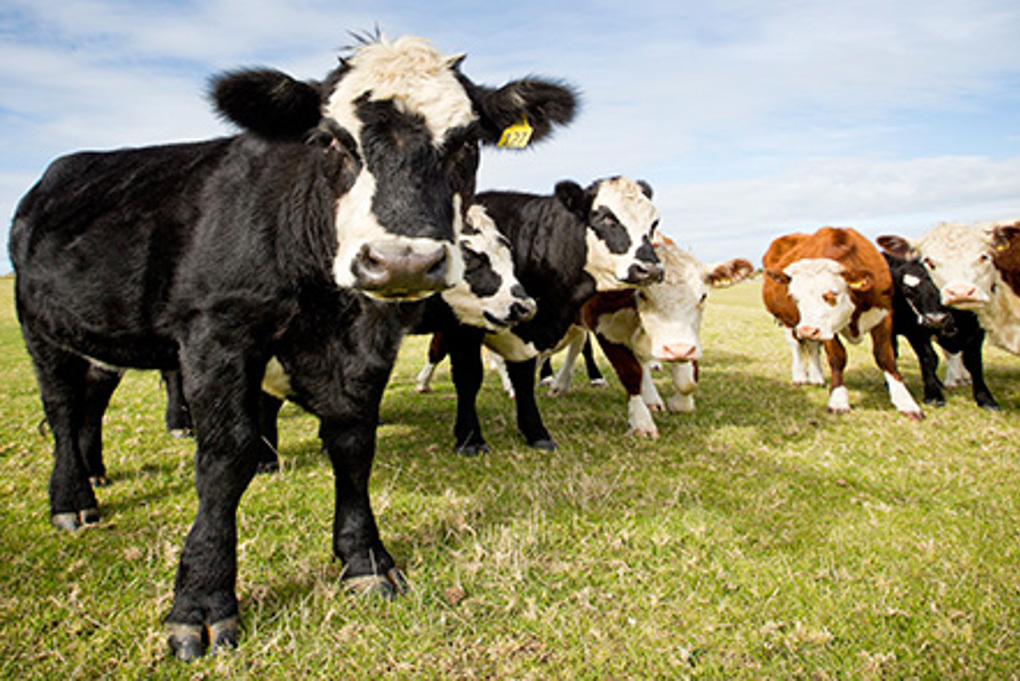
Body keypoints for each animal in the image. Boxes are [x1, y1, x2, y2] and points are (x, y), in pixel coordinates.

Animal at [9, 34, 577, 660]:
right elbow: (224, 459)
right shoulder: (218, 335)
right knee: (63, 409)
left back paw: (96, 472)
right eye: (330, 139)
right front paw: (202, 601)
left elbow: (353, 445)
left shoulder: (367, 348)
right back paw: (72, 498)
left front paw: (364, 559)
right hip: (40, 326)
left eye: (467, 141)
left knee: (92, 399)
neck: (323, 303)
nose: (401, 261)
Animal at [441, 176, 665, 455]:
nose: (651, 268)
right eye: (606, 218)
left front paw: (535, 432)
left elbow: (524, 379)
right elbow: (469, 377)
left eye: (654, 223)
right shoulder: (463, 326)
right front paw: (470, 439)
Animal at [546, 238, 753, 437]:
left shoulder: (684, 339)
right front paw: (641, 422)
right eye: (643, 295)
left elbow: (687, 379)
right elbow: (630, 373)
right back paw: (560, 384)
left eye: (703, 296)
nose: (678, 349)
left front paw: (680, 403)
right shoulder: (605, 328)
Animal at [761, 227, 924, 419]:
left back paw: (816, 378)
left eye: (833, 293)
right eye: (794, 296)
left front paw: (906, 402)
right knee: (796, 347)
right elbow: (837, 358)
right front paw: (838, 399)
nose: (807, 330)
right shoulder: (826, 329)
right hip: (788, 321)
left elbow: (885, 357)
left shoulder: (884, 315)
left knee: (813, 347)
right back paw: (800, 376)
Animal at [877, 236, 999, 410]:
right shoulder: (915, 330)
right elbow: (929, 358)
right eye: (909, 290)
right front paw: (933, 395)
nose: (936, 318)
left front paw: (985, 399)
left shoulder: (977, 330)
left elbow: (974, 362)